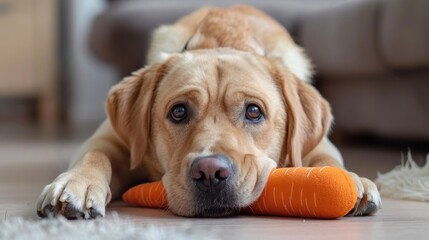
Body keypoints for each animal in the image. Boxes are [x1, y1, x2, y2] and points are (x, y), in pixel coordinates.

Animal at [36, 5, 378, 219]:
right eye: (178, 112)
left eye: (254, 112)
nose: (210, 172)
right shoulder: (110, 139)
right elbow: (96, 155)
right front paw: (77, 184)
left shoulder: (318, 146)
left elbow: (326, 161)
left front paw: (354, 181)